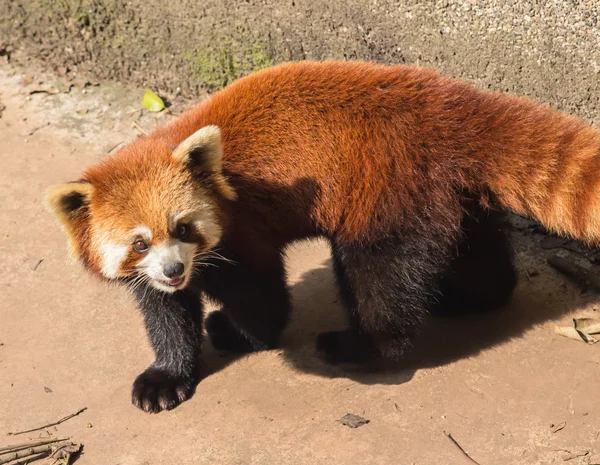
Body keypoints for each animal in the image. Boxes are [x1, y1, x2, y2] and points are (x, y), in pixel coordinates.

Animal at [45, 60, 600, 410]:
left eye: (183, 228)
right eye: (139, 243)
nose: (174, 269)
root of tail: (448, 101)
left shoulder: (243, 231)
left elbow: (261, 295)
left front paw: (242, 334)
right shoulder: (155, 277)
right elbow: (165, 314)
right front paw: (167, 376)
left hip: (385, 188)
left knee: (379, 273)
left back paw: (362, 346)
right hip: (448, 189)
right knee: (474, 250)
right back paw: (470, 297)